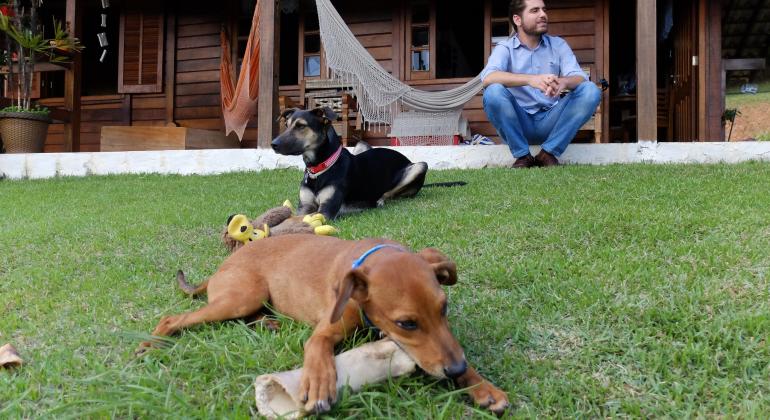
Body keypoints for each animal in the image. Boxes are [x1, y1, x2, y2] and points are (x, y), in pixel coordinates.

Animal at [136, 235, 510, 416]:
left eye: (444, 308)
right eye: (406, 323)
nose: (455, 369)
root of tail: (220, 268)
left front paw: (483, 386)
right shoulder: (325, 330)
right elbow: (316, 346)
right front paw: (318, 383)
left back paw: (268, 324)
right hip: (241, 295)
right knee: (173, 318)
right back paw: (151, 343)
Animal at [272, 107, 428, 220]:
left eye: (301, 126)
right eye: (286, 125)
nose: (273, 144)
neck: (321, 167)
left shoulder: (325, 210)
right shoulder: (304, 206)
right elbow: (293, 216)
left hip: (421, 166)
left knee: (389, 193)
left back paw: (379, 200)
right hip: (361, 145)